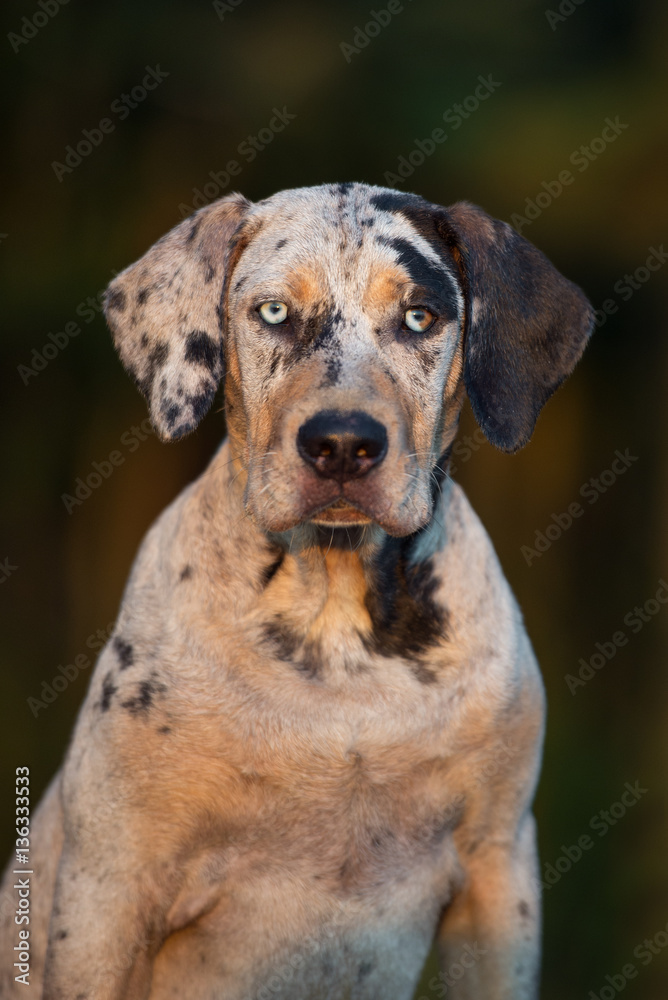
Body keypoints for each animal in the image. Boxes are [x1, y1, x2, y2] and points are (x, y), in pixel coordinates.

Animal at [1, 184, 596, 996]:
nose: (342, 444)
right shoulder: (110, 891)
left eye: (420, 317)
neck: (333, 620)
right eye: (275, 312)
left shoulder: (497, 871)